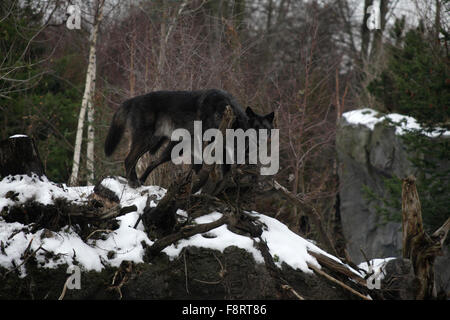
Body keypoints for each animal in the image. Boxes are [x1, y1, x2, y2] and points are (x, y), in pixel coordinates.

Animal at [104, 89, 274, 186]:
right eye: (255, 129)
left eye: (265, 129)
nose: (260, 141)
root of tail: (134, 99)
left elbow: (222, 174)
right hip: (146, 140)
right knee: (129, 159)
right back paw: (133, 182)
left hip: (163, 148)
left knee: (150, 162)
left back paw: (140, 181)